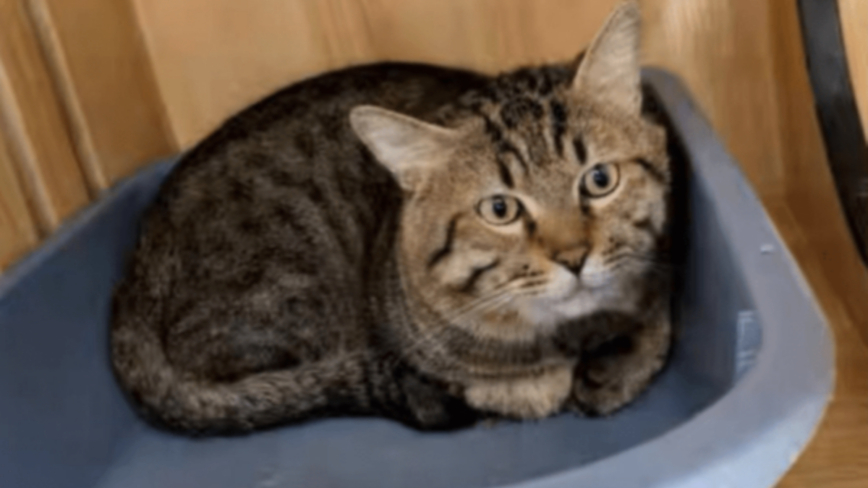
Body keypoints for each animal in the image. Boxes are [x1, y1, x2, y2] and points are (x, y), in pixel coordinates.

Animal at [110, 1, 673, 434]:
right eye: (501, 209)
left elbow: (653, 321)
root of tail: (134, 274)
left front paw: (619, 363)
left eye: (599, 180)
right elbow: (505, 382)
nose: (574, 257)